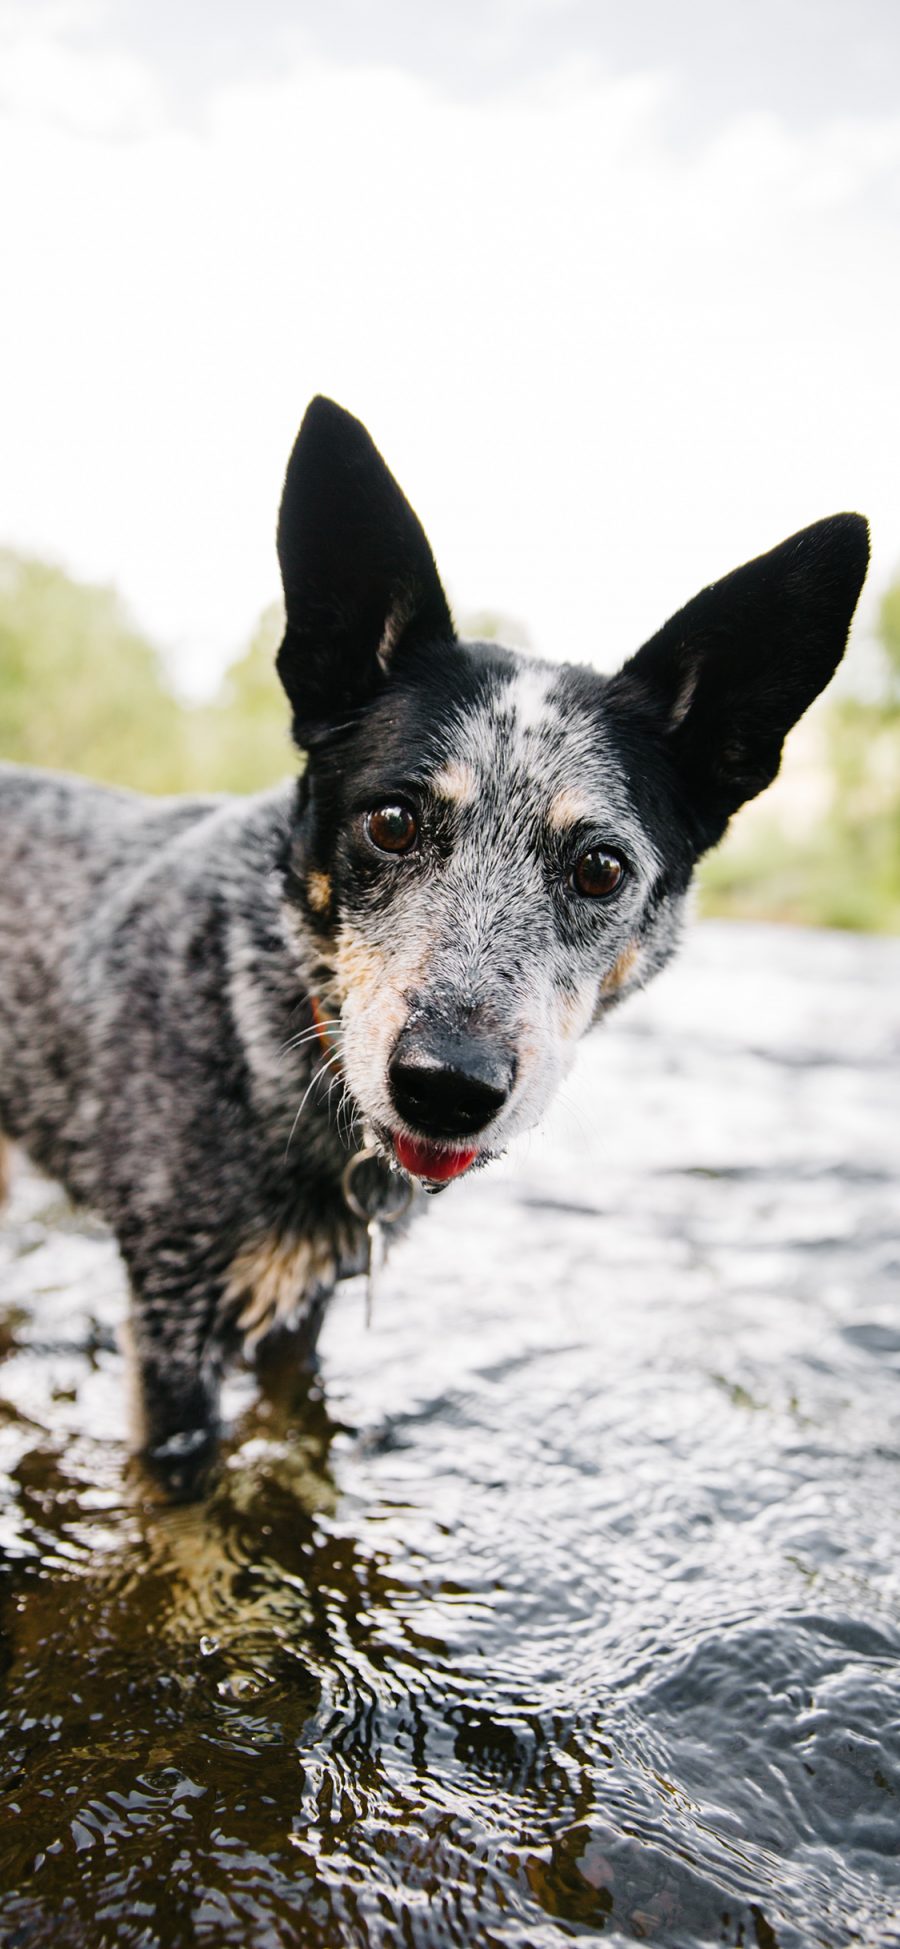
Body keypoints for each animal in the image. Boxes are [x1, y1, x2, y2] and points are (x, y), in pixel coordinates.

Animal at [1, 399, 872, 1473]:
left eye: (601, 868)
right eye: (391, 821)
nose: (448, 1086)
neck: (270, 1019)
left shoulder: (301, 1314)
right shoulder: (173, 1321)